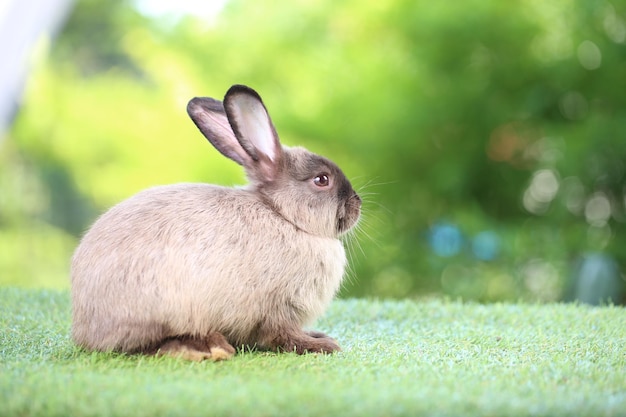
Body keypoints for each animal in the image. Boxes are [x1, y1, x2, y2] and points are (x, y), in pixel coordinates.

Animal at [70, 84, 358, 360]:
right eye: (322, 180)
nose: (357, 205)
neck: (283, 215)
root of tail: (85, 328)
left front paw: (319, 336)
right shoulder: (279, 309)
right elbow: (281, 335)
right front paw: (321, 345)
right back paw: (204, 347)